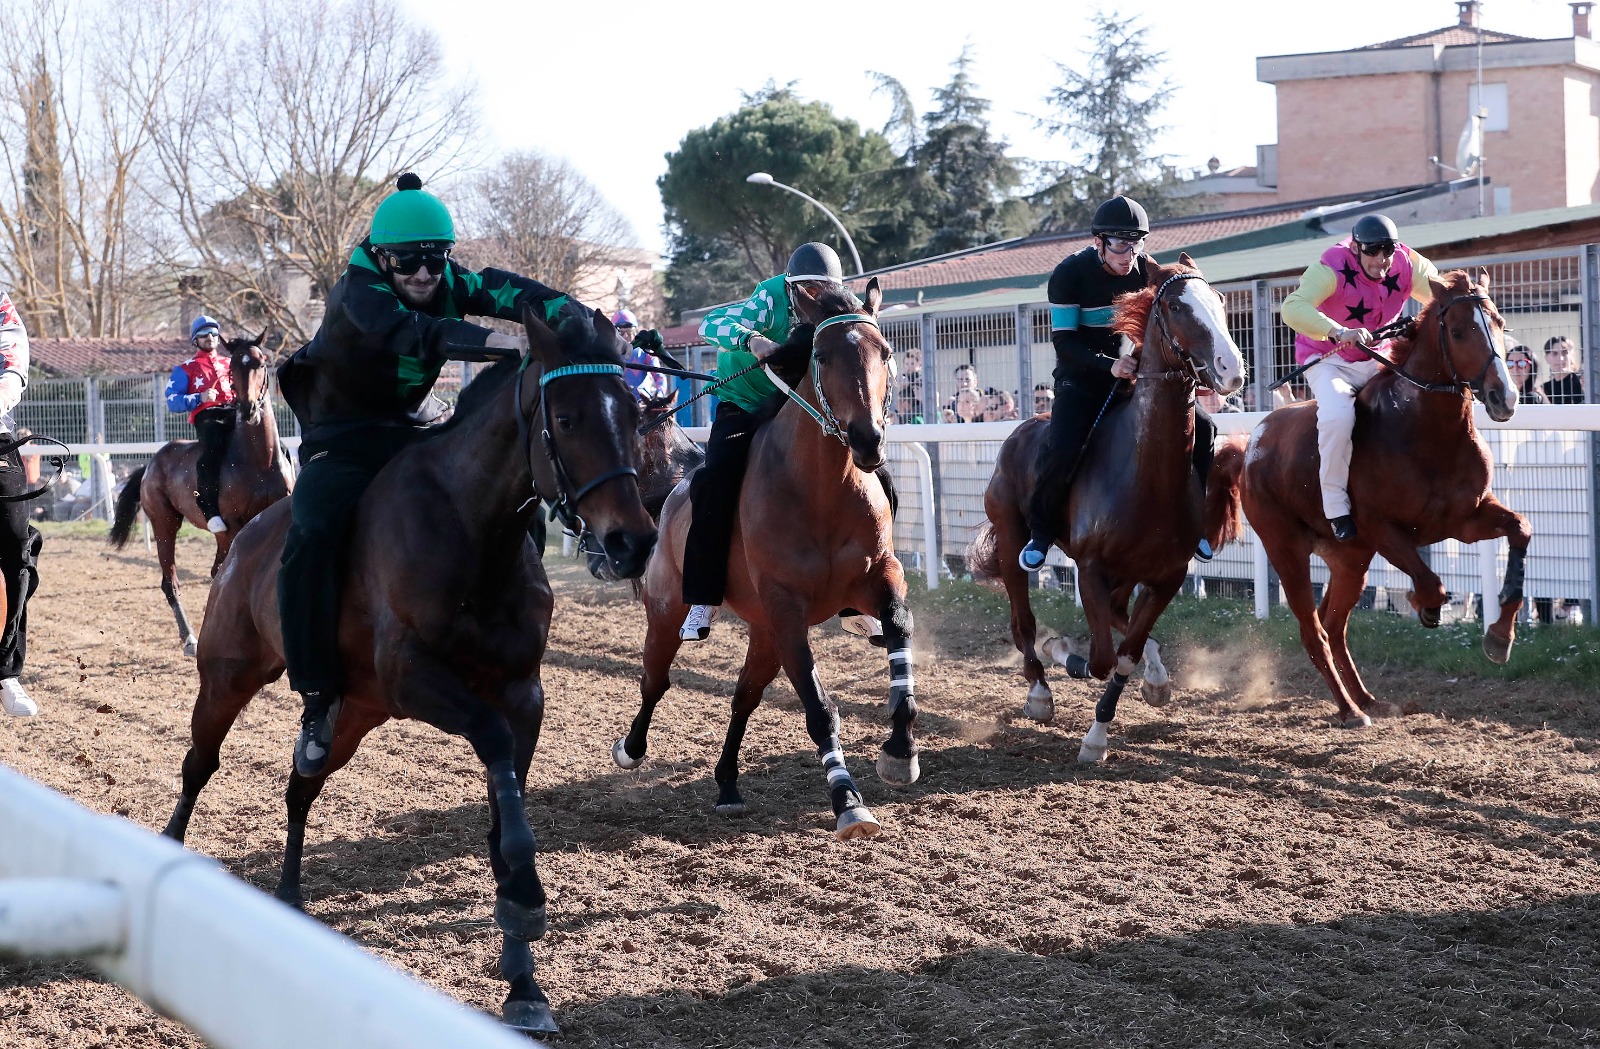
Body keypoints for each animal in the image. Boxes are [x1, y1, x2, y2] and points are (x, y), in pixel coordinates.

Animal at [108, 332, 291, 655]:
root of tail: (152, 463)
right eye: (233, 367)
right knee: (171, 582)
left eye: (260, 362)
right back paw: (190, 638)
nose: (247, 410)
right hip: (166, 525)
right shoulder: (236, 526)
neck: (260, 460)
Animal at [159, 307, 659, 1036]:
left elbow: (503, 809)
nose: (633, 540)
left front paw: (524, 979)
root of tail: (245, 540)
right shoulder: (415, 677)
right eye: (565, 419)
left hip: (356, 713)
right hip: (228, 676)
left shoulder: (522, 693)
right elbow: (493, 748)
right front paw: (525, 899)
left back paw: (289, 892)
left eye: (634, 411)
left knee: (301, 785)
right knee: (200, 763)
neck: (474, 531)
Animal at [960, 254, 1248, 761]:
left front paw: (1112, 721)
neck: (1146, 476)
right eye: (1176, 306)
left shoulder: (1166, 577)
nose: (1230, 368)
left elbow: (1127, 654)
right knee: (1023, 623)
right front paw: (1068, 663)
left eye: (1219, 299)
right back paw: (1040, 690)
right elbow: (1099, 659)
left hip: (1127, 573)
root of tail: (1019, 431)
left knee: (1121, 623)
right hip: (1014, 541)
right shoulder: (1090, 568)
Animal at [1209, 270, 1523, 729]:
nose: (1505, 396)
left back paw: (1365, 698)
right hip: (1287, 549)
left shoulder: (1466, 520)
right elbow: (1431, 582)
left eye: (1500, 323)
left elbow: (1521, 530)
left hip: (1349, 559)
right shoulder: (1383, 529)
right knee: (1314, 631)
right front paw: (1425, 606)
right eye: (1459, 331)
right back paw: (1349, 709)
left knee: (1333, 625)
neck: (1425, 432)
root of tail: (1250, 447)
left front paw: (1500, 636)